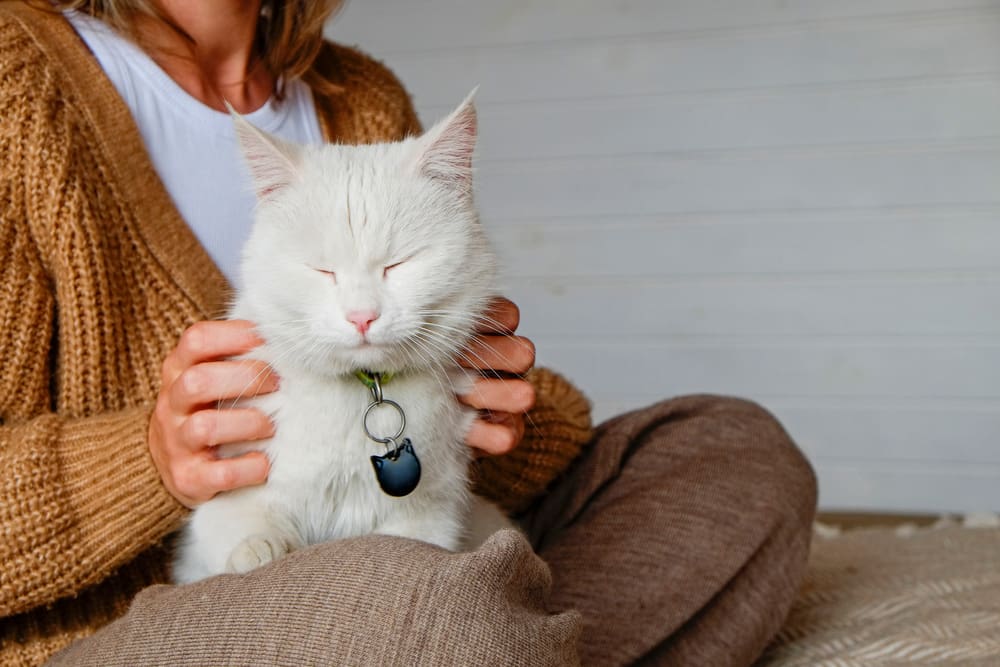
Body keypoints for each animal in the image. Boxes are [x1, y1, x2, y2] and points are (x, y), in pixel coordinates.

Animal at [172, 90, 512, 584]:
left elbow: (408, 544)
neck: (364, 393)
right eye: (322, 270)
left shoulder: (426, 518)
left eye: (399, 264)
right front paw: (260, 551)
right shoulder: (225, 506)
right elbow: (245, 527)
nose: (362, 317)